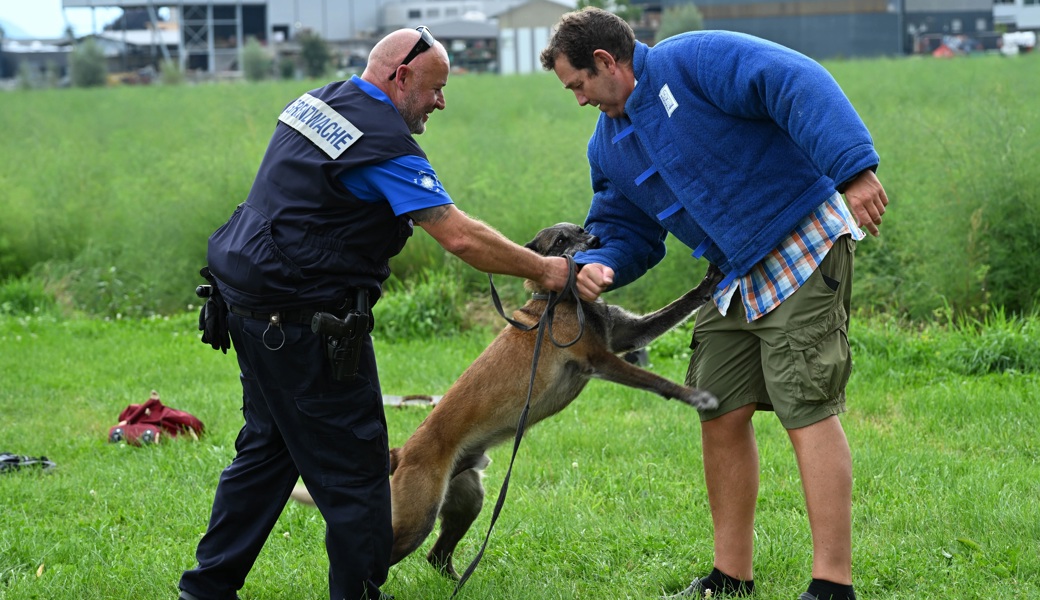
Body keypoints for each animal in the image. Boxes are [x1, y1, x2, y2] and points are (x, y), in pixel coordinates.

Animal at [289, 222, 719, 578]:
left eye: (582, 231)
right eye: (560, 242)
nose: (596, 242)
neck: (558, 300)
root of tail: (403, 451)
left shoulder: (629, 336)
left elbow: (679, 306)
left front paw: (710, 281)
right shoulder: (601, 360)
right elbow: (655, 379)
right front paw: (695, 396)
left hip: (468, 501)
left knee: (437, 556)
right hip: (417, 518)